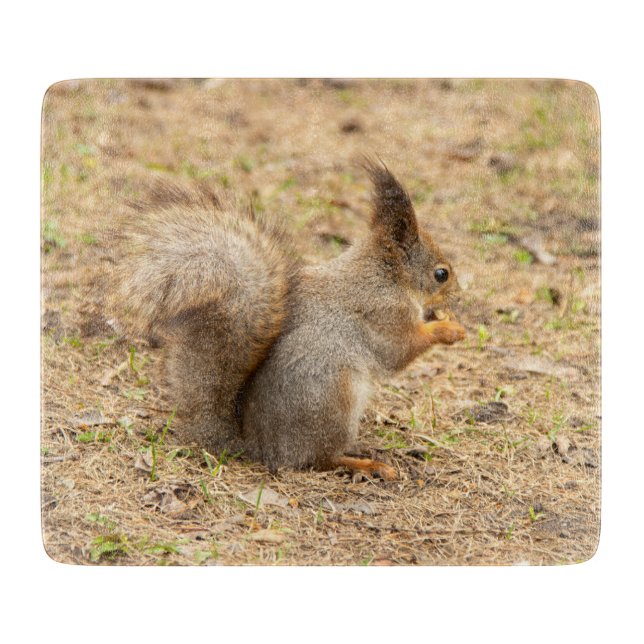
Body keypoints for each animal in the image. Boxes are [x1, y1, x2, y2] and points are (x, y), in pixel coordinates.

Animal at [108, 160, 465, 480]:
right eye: (441, 274)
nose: (459, 298)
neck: (385, 276)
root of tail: (260, 448)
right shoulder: (384, 313)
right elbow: (399, 351)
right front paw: (449, 329)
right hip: (332, 399)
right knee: (320, 459)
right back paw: (366, 464)